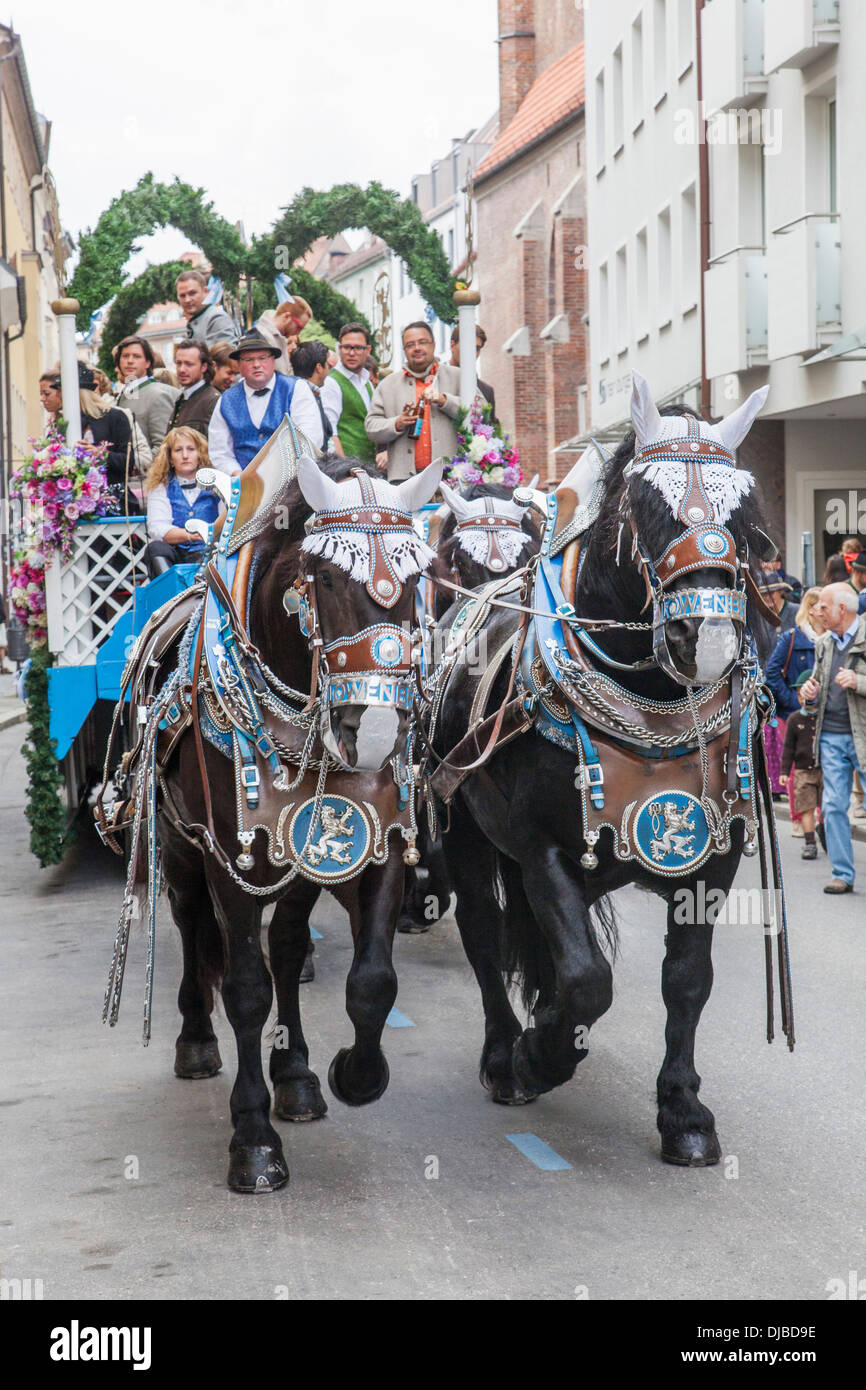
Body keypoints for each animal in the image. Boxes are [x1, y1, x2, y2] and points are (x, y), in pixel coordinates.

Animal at [436, 394, 778, 1162]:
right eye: (644, 507)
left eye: (743, 514)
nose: (708, 638)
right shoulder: (541, 849)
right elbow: (588, 978)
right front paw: (540, 1054)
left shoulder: (714, 858)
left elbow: (686, 981)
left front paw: (683, 1113)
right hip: (465, 829)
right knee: (482, 932)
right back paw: (506, 1053)